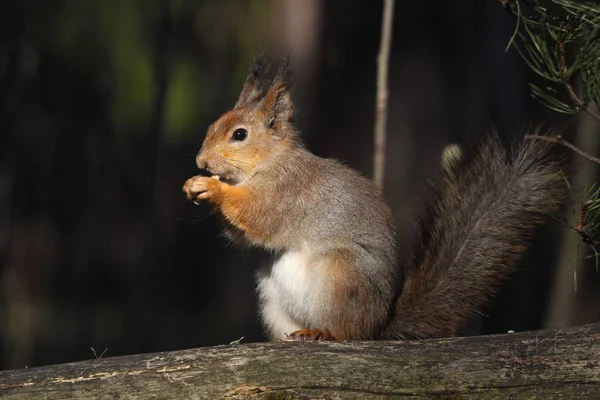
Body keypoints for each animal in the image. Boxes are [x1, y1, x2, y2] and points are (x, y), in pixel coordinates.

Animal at [182, 53, 564, 340]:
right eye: (213, 125)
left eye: (240, 135)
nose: (201, 161)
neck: (270, 162)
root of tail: (378, 326)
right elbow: (245, 236)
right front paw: (194, 184)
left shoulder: (288, 190)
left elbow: (258, 214)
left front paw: (212, 187)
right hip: (272, 295)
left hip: (342, 275)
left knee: (348, 332)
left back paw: (324, 333)